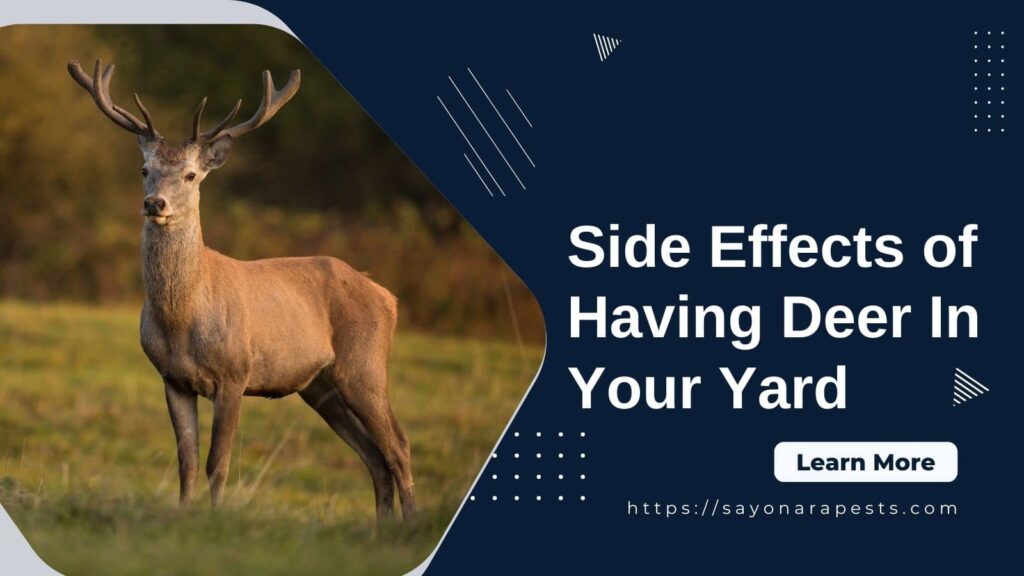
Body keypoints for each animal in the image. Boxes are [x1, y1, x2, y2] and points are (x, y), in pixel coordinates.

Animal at [67, 59, 416, 521]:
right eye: (145, 170)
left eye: (191, 174)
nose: (154, 203)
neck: (182, 320)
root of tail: (388, 297)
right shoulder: (172, 378)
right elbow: (187, 459)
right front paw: (183, 514)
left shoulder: (235, 373)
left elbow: (219, 461)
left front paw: (216, 518)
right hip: (319, 385)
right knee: (374, 456)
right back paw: (383, 528)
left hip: (365, 366)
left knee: (398, 445)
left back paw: (410, 523)